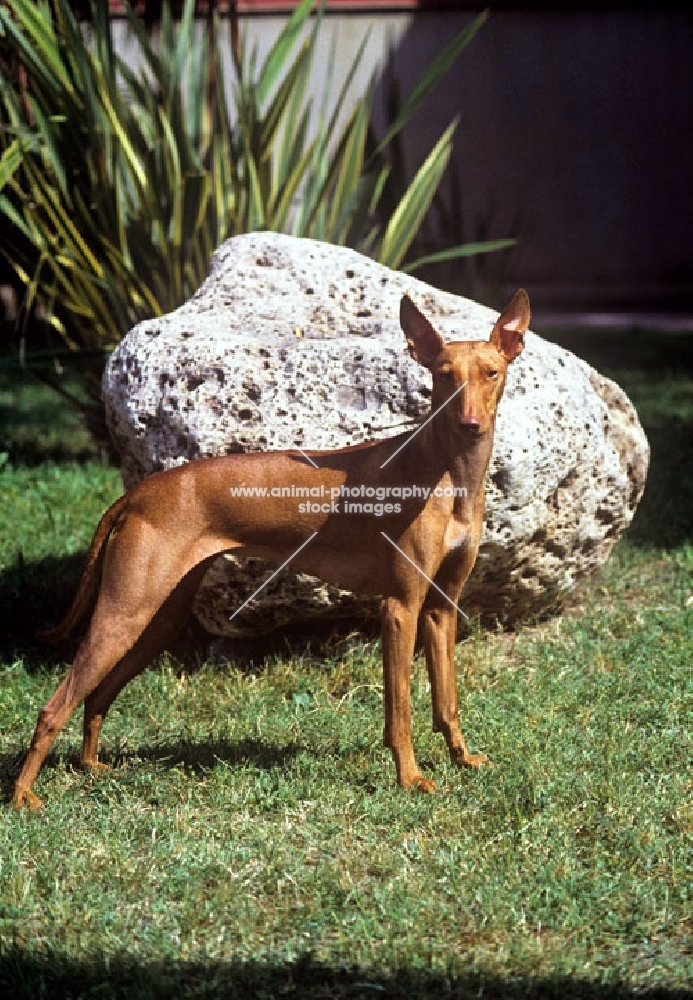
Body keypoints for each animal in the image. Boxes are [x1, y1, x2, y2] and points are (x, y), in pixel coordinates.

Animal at [12, 290, 528, 804]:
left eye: (491, 373)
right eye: (444, 375)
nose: (469, 424)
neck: (447, 474)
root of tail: (140, 493)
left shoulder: (441, 607)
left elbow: (447, 700)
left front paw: (462, 758)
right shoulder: (400, 607)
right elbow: (398, 709)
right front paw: (409, 777)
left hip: (158, 621)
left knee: (97, 695)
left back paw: (91, 766)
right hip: (123, 614)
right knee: (54, 706)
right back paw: (22, 797)